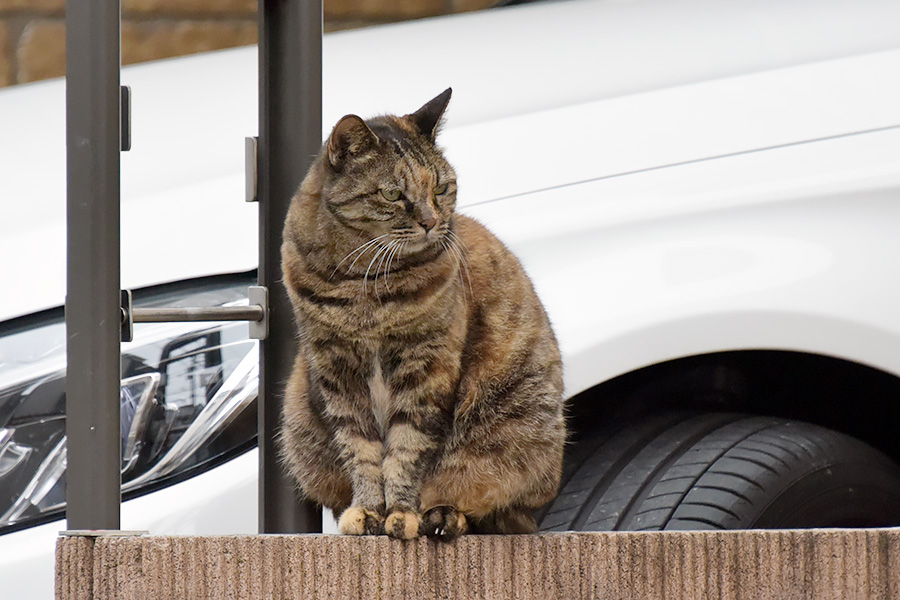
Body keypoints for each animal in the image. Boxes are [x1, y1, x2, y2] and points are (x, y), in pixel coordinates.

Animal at [280, 90, 564, 544]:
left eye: (442, 188)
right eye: (393, 194)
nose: (432, 222)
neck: (364, 284)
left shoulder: (427, 368)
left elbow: (408, 448)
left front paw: (400, 513)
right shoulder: (336, 369)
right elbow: (359, 448)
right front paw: (367, 510)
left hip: (516, 424)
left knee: (491, 506)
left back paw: (443, 516)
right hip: (298, 421)